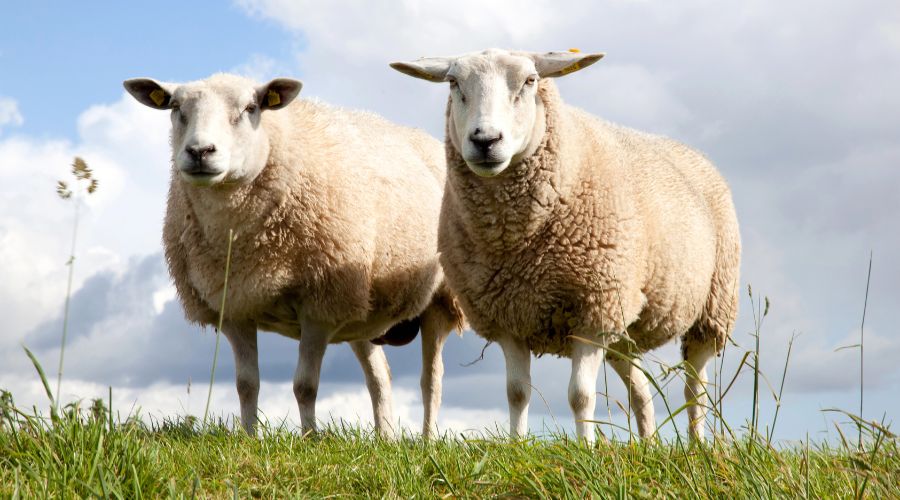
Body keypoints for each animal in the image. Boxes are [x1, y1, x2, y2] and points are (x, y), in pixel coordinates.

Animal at [123, 73, 463, 438]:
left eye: (251, 107)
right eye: (175, 108)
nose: (200, 151)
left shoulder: (320, 305)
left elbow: (305, 386)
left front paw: (310, 439)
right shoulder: (235, 306)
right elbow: (247, 384)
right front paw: (249, 438)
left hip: (440, 299)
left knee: (431, 381)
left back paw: (427, 440)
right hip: (361, 307)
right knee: (380, 377)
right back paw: (384, 438)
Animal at [391, 49, 741, 442]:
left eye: (530, 81)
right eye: (453, 82)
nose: (485, 140)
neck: (516, 241)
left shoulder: (593, 310)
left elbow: (580, 395)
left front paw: (586, 447)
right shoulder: (508, 317)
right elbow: (517, 392)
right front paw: (516, 445)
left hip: (712, 305)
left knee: (696, 387)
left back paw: (697, 445)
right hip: (623, 327)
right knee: (641, 390)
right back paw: (647, 444)